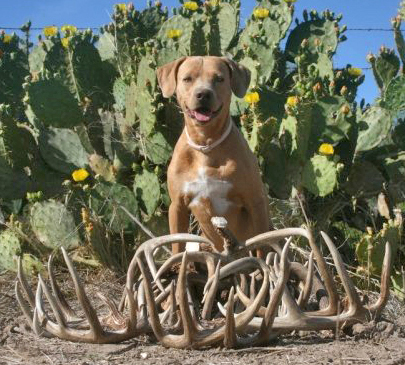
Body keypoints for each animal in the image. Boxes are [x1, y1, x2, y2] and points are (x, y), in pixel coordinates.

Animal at [157, 56, 268, 253]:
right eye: (187, 79)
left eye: (219, 79)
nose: (203, 94)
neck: (205, 145)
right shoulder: (177, 206)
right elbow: (177, 245)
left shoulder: (255, 202)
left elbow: (262, 247)